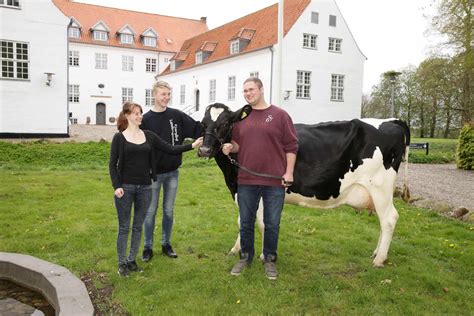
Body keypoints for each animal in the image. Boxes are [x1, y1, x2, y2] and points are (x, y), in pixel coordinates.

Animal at [198, 103, 410, 266]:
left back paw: (379, 259)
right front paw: (237, 248)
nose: (204, 150)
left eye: (225, 123)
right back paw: (377, 253)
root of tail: (393, 120)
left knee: (389, 219)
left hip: (380, 187)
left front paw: (263, 255)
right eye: (203, 124)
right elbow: (243, 220)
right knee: (384, 222)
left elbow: (261, 223)